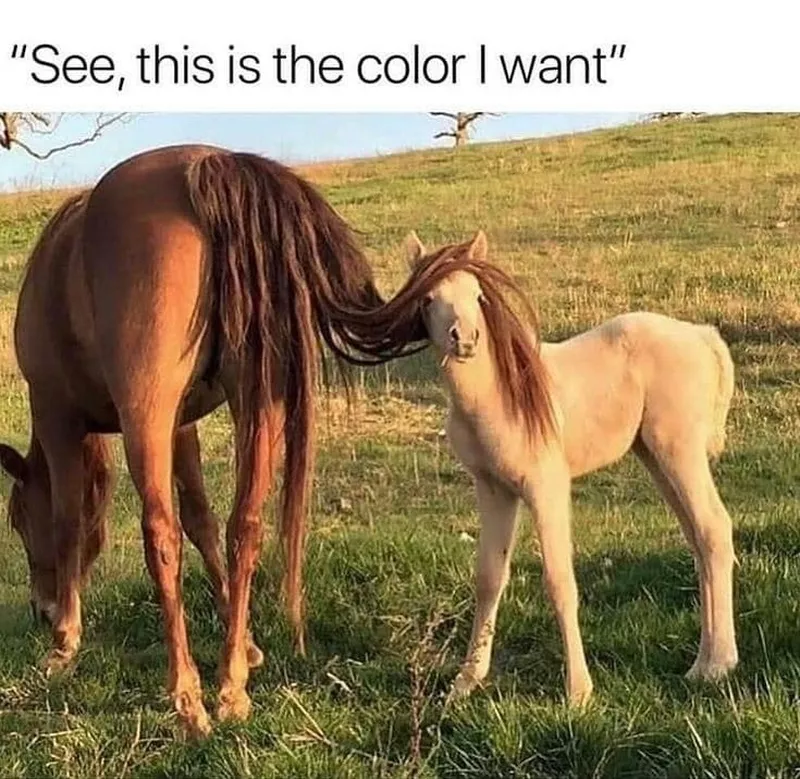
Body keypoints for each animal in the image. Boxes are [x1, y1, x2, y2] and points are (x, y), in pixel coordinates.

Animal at [0, 146, 424, 736]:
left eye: (17, 520)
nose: (42, 612)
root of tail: (208, 165)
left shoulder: (59, 415)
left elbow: (68, 525)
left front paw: (65, 643)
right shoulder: (182, 426)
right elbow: (201, 518)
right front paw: (243, 642)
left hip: (148, 413)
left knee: (160, 533)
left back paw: (187, 696)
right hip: (255, 401)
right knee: (244, 525)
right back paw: (231, 688)